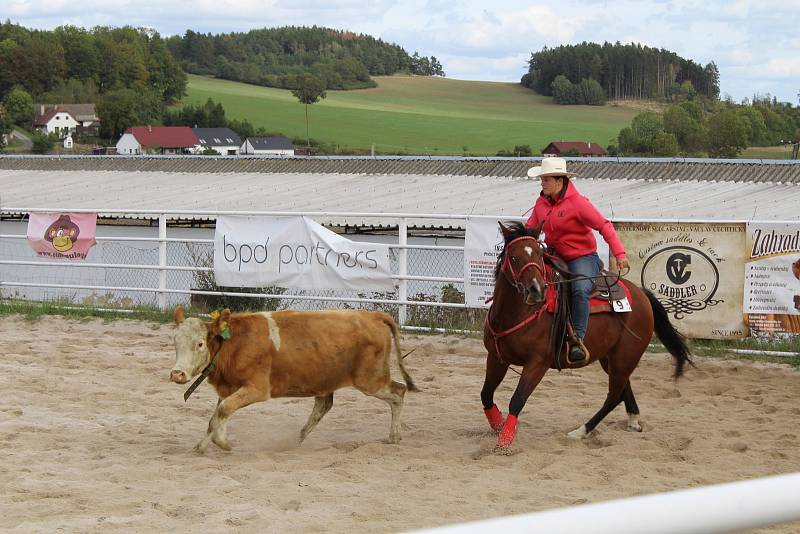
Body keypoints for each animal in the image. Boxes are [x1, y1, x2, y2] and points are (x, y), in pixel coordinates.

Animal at [171, 308, 416, 454]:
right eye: (175, 342)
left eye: (200, 344)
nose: (177, 374)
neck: (234, 343)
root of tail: (373, 315)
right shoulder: (229, 388)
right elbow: (218, 415)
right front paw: (211, 444)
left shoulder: (257, 388)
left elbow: (222, 411)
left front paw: (214, 444)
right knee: (323, 405)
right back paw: (296, 440)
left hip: (371, 379)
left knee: (399, 392)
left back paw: (394, 436)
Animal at [482, 224, 692, 450]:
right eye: (513, 257)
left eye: (538, 253)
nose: (536, 290)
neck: (516, 313)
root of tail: (642, 295)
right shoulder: (496, 357)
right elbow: (486, 394)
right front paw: (498, 424)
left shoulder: (537, 363)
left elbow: (517, 399)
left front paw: (504, 442)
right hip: (612, 358)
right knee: (623, 389)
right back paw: (633, 421)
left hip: (625, 357)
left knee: (613, 397)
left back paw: (581, 431)